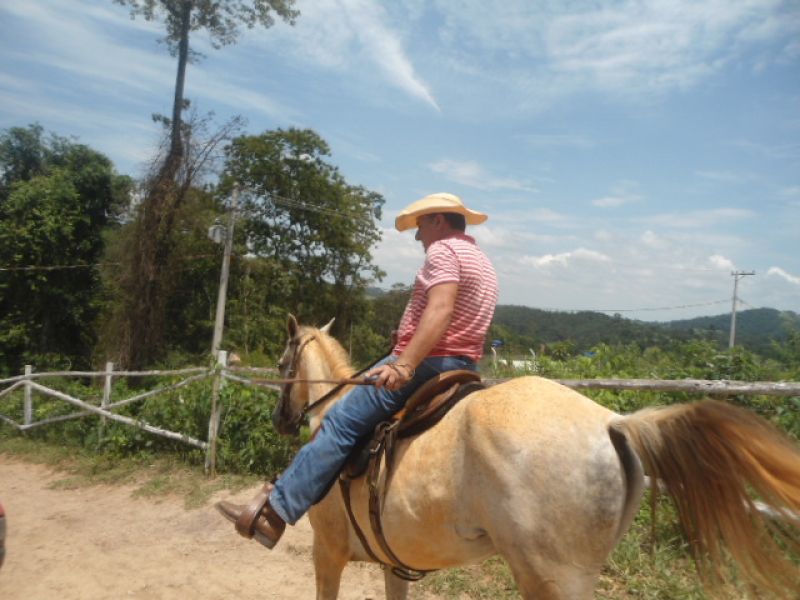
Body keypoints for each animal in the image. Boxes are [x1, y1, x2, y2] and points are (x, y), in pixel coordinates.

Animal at [271, 317, 800, 599]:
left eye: (280, 365)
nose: (281, 419)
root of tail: (613, 423)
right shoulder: (392, 563)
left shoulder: (327, 550)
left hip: (552, 578)